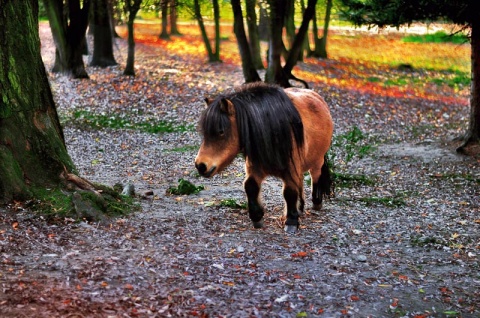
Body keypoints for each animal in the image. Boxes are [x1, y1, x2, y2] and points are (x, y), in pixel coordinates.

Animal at [193, 82, 332, 232]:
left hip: (316, 162)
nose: (200, 165)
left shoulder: (290, 170)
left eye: (221, 131)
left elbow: (289, 192)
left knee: (315, 177)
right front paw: (257, 217)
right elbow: (250, 186)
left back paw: (316, 202)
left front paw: (291, 221)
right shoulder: (256, 168)